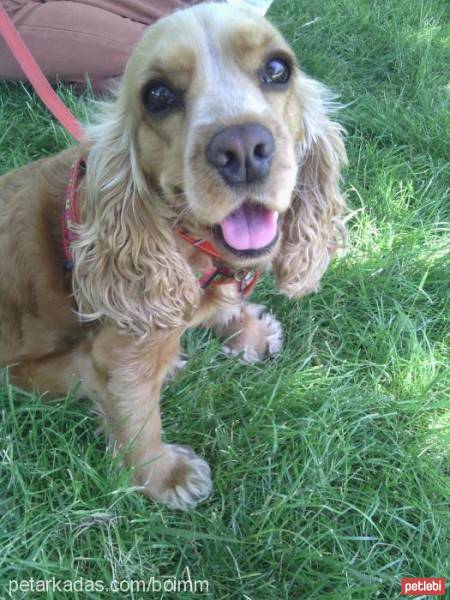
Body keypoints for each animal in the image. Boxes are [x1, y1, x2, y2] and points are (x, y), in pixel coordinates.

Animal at [0, 2, 346, 508]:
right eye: (158, 95)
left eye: (277, 69)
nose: (243, 148)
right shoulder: (121, 353)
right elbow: (137, 415)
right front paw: (164, 476)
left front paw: (247, 329)